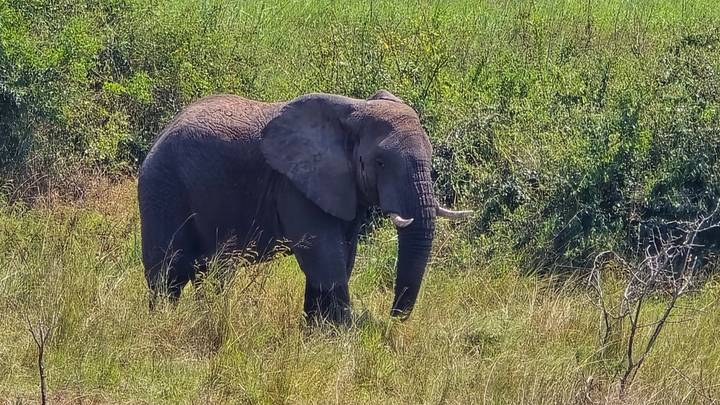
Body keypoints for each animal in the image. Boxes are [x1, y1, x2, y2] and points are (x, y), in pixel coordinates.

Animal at [138, 90, 471, 323]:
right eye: (379, 162)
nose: (392, 318)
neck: (355, 110)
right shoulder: (294, 186)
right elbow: (324, 257)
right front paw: (342, 335)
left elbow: (342, 258)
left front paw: (317, 333)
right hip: (163, 187)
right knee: (168, 272)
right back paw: (163, 323)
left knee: (207, 271)